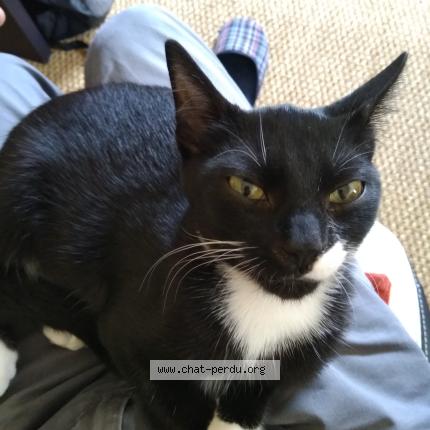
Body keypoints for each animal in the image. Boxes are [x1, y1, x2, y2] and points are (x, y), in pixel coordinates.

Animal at [0, 40, 406, 429]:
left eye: (347, 191)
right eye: (246, 188)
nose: (304, 245)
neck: (264, 307)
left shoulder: (313, 345)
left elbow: (269, 381)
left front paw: (234, 418)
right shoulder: (124, 328)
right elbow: (164, 395)